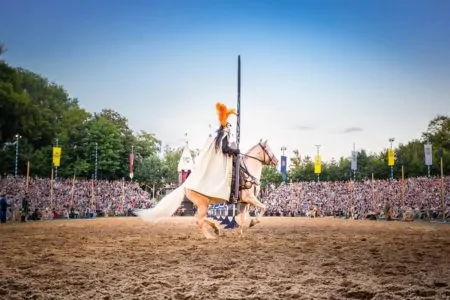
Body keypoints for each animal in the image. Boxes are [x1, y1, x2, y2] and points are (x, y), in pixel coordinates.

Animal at [135, 139, 280, 240]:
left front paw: (241, 233)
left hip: (202, 205)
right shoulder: (249, 198)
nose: (277, 161)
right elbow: (264, 207)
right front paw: (253, 222)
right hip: (203, 204)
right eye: (268, 149)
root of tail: (186, 185)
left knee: (198, 218)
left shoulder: (245, 202)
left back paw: (216, 228)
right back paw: (210, 236)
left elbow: (243, 218)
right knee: (198, 220)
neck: (247, 173)